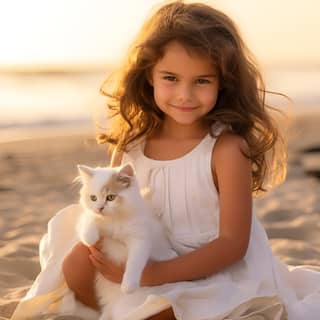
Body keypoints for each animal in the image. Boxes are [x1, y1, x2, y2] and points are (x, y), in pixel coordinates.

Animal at [71, 164, 176, 318]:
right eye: (93, 198)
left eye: (110, 197)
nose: (100, 208)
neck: (115, 219)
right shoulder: (87, 218)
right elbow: (89, 219)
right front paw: (90, 238)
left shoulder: (140, 239)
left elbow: (135, 262)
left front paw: (128, 286)